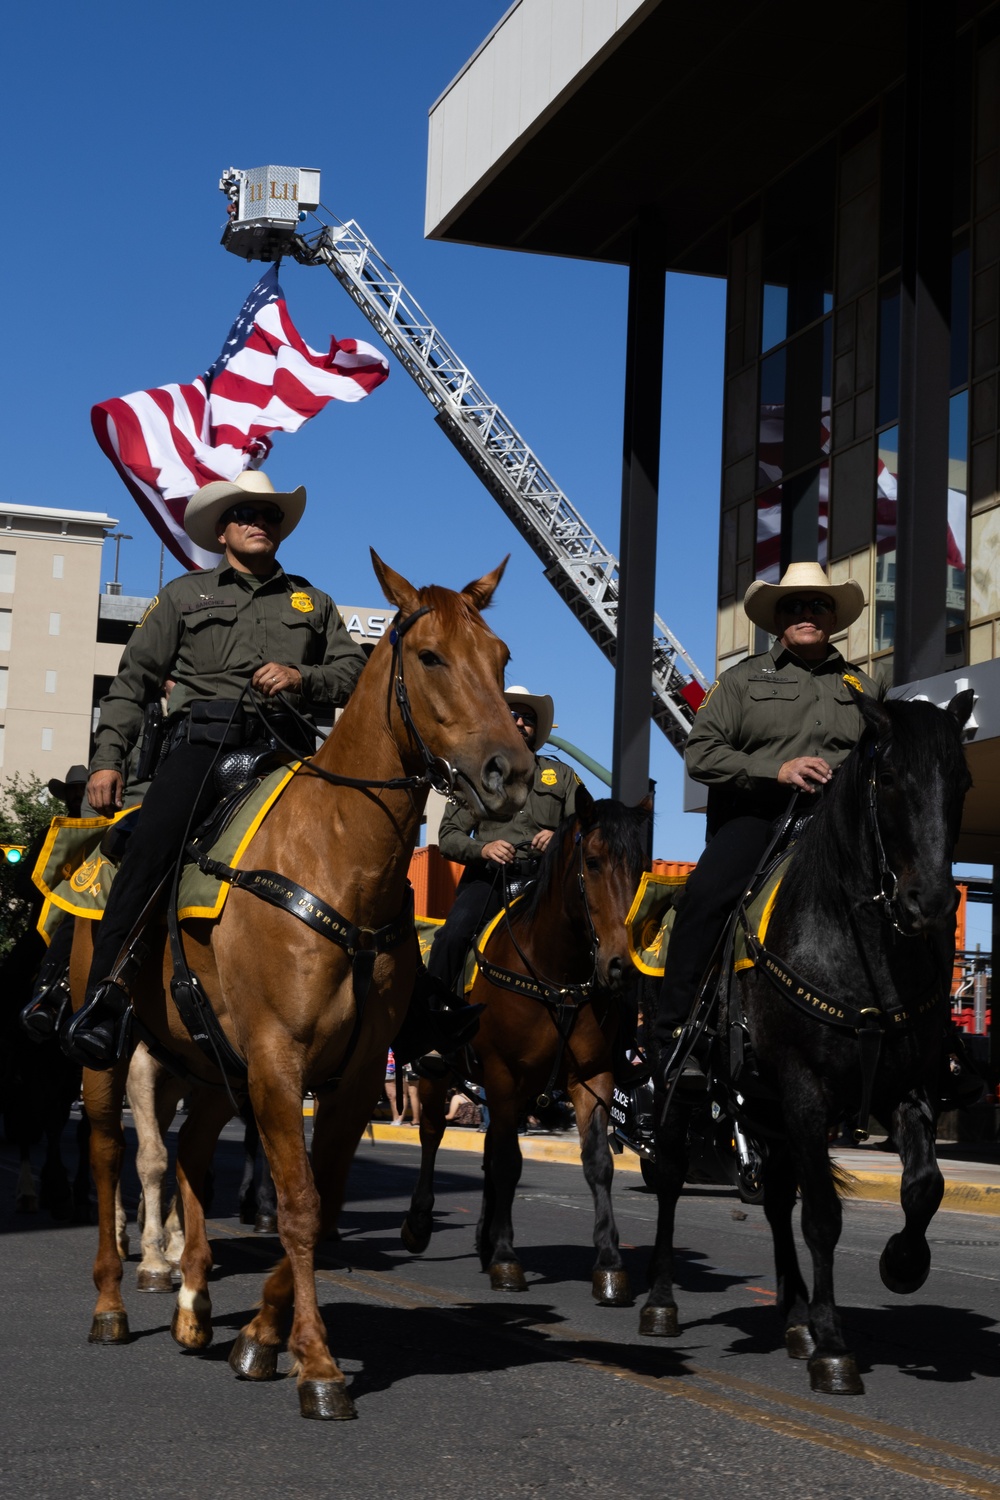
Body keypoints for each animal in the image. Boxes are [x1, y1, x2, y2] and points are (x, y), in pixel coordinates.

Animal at [74, 558, 536, 1422]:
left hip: (207, 1060)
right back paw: (113, 1304)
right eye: (430, 656)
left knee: (190, 1151)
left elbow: (322, 1202)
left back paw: (193, 1306)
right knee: (110, 1153)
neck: (339, 858)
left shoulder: (347, 1076)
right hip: (110, 1055)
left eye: (502, 657)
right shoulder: (279, 1060)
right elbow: (297, 1204)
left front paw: (261, 1336)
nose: (512, 773)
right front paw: (316, 1365)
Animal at [401, 792, 653, 1308]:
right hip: (439, 1071)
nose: (621, 966)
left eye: (642, 867)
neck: (556, 972)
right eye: (592, 862)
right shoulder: (502, 1073)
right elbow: (508, 1162)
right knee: (433, 1134)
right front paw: (506, 1258)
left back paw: (483, 1238)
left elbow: (598, 1164)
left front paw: (610, 1265)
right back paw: (420, 1222)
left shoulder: (591, 1078)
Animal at [641, 690, 977, 1392]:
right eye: (888, 777)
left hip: (766, 1108)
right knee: (672, 1179)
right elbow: (822, 1216)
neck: (860, 944)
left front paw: (902, 1264)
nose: (932, 903)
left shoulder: (906, 1089)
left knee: (773, 1199)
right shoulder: (804, 1091)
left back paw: (795, 1316)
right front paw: (834, 1347)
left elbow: (924, 1186)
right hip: (684, 1091)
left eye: (961, 781)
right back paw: (660, 1301)